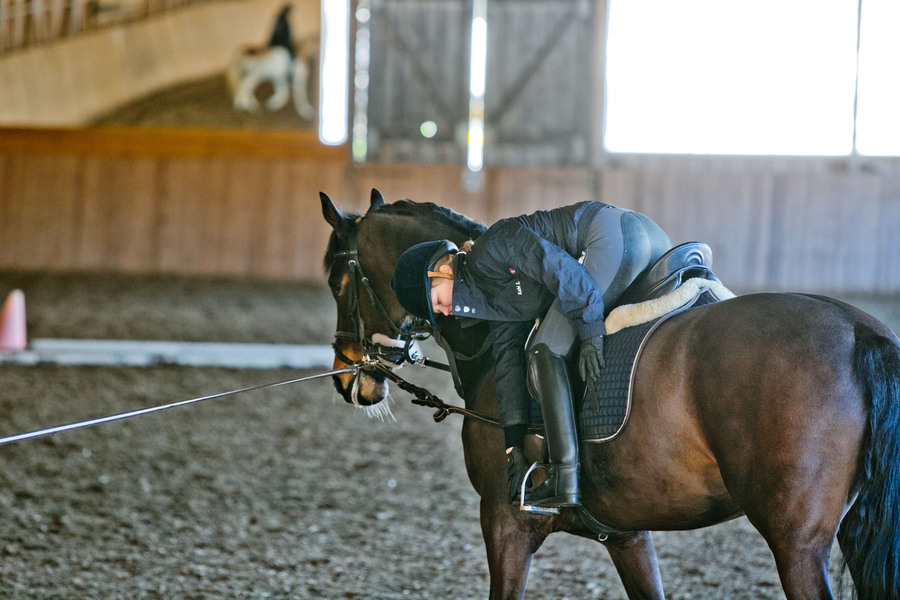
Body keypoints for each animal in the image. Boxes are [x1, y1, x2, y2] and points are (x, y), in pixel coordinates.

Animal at [320, 189, 900, 600]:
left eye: (338, 283)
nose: (348, 378)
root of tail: (860, 331)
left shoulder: (506, 523)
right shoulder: (628, 534)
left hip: (796, 543)